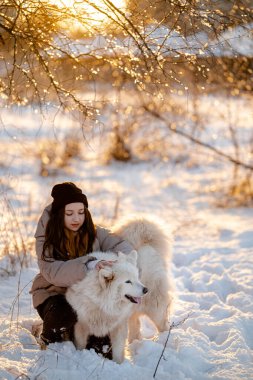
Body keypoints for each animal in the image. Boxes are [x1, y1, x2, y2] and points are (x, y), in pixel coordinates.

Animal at [65, 217, 173, 362]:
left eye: (137, 277)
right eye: (128, 281)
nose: (146, 290)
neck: (102, 303)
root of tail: (147, 245)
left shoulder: (119, 326)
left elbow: (117, 351)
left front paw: (119, 363)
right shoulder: (80, 325)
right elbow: (80, 346)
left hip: (155, 310)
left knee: (164, 327)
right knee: (136, 328)